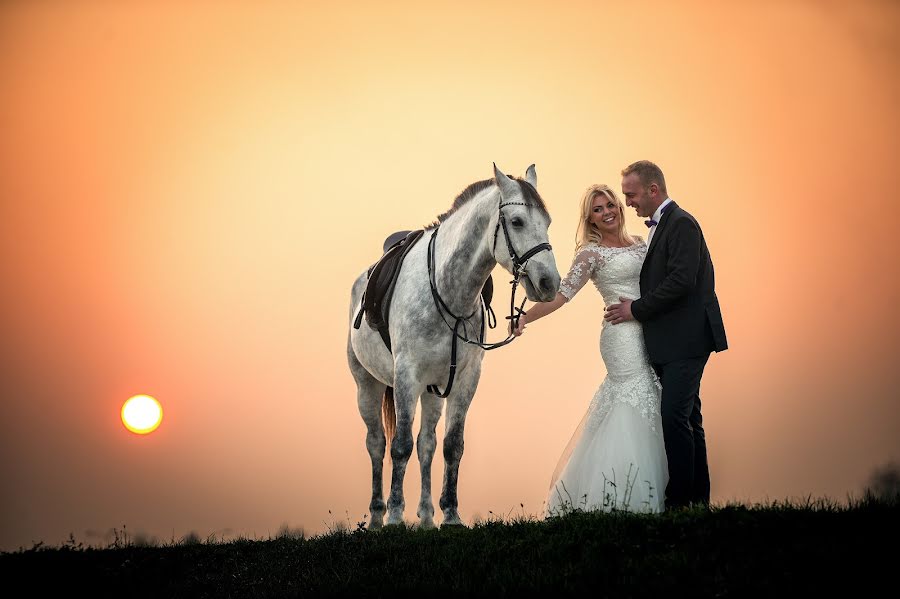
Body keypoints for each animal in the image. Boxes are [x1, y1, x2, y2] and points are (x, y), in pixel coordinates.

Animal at [348, 164, 560, 528]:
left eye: (546, 221)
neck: (448, 288)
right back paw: (377, 516)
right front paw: (394, 516)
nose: (550, 283)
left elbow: (451, 445)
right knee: (377, 443)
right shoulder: (406, 377)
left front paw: (450, 514)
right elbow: (400, 445)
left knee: (427, 444)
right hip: (368, 384)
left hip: (433, 390)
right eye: (517, 221)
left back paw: (426, 516)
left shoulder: (465, 378)